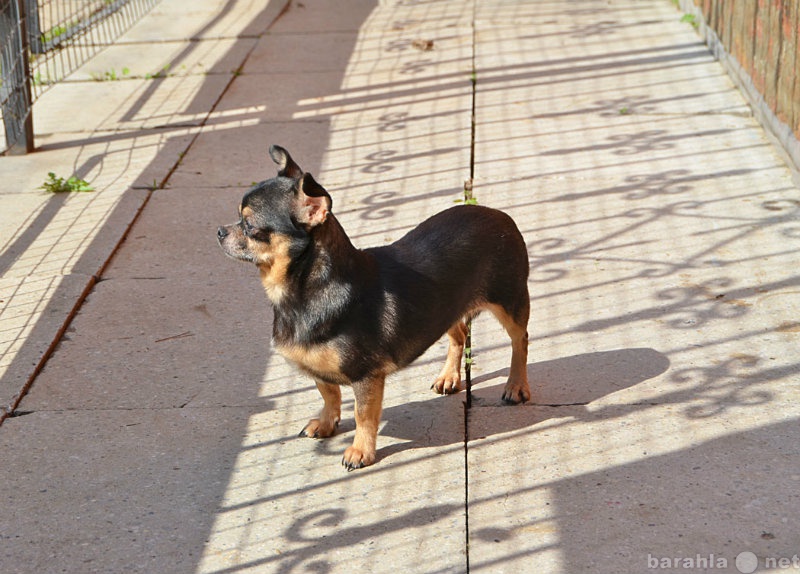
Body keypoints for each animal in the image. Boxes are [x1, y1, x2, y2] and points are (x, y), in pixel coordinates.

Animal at [219, 146, 532, 470]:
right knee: (459, 334)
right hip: (446, 307)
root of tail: (498, 214)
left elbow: (363, 415)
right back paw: (449, 376)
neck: (304, 292)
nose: (219, 231)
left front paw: (360, 451)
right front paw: (326, 423)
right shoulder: (321, 370)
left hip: (510, 302)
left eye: (249, 226)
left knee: (520, 340)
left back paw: (516, 385)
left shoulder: (365, 377)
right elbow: (329, 394)